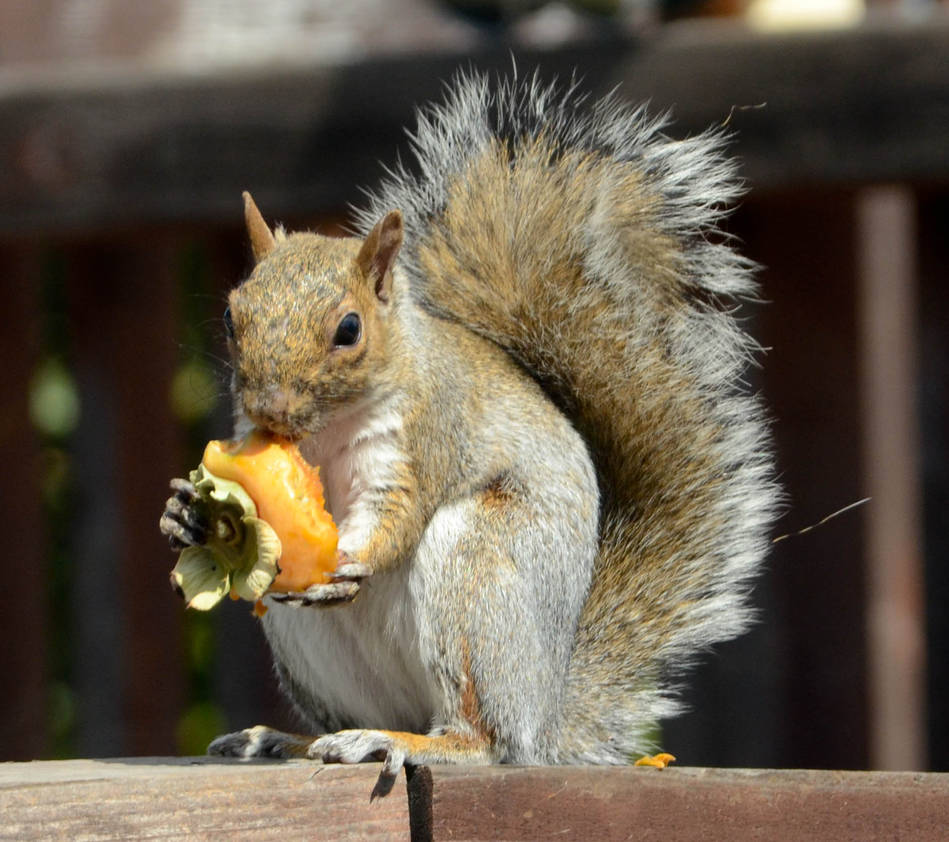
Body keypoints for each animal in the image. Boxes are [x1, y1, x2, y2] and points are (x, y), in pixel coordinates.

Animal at [157, 70, 776, 780]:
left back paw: (404, 742)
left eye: (349, 329)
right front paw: (184, 514)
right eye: (232, 316)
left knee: (483, 737)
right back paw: (290, 740)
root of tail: (546, 712)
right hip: (311, 645)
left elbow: (397, 513)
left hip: (478, 573)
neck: (327, 431)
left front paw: (354, 560)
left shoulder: (426, 435)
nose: (271, 409)